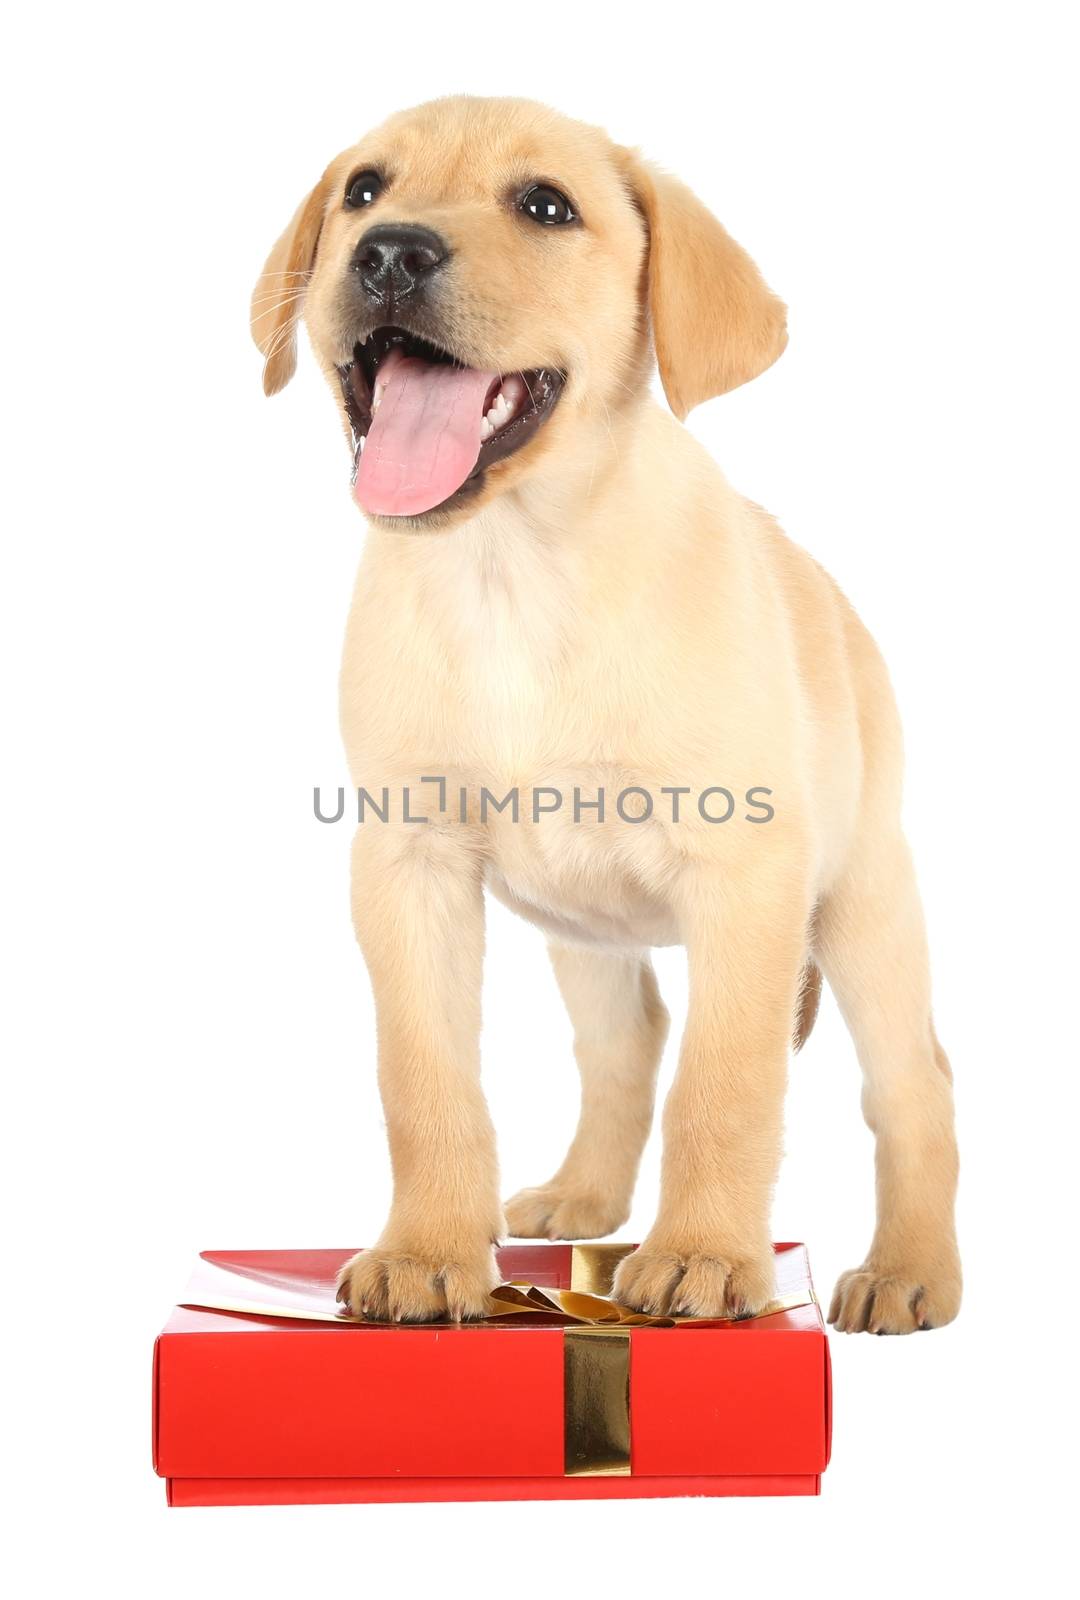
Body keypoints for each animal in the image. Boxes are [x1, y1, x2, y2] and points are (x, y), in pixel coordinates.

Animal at [252, 93, 966, 1331]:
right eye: (362, 191)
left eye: (546, 207)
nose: (388, 253)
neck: (511, 570)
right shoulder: (409, 861)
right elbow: (424, 1079)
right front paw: (428, 1249)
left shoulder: (744, 873)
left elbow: (727, 1087)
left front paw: (705, 1254)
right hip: (582, 920)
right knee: (628, 1039)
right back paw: (583, 1194)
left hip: (864, 902)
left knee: (914, 1081)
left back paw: (914, 1267)